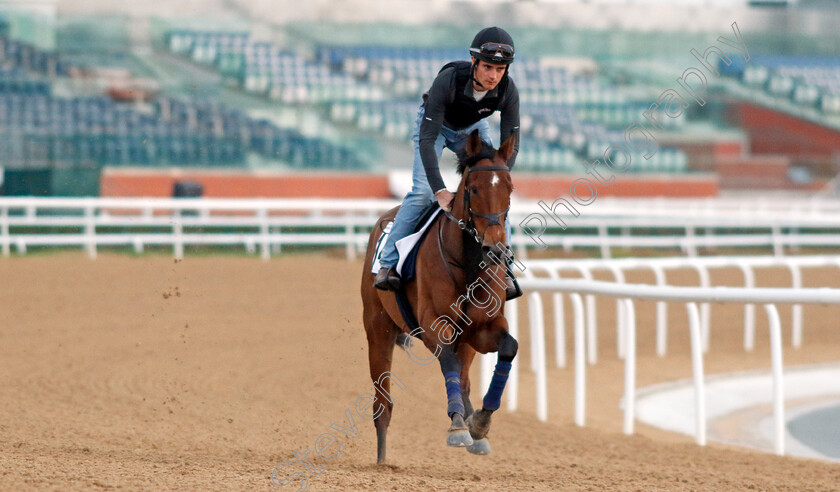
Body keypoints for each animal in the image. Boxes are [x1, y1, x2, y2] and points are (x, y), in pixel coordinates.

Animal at [360, 129, 520, 464]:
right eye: (473, 188)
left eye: (510, 188)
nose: (496, 249)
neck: (469, 265)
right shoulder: (434, 324)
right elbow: (447, 361)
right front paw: (459, 425)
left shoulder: (481, 328)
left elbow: (508, 347)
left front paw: (480, 423)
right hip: (377, 328)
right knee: (383, 402)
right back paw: (381, 460)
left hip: (466, 341)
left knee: (465, 379)